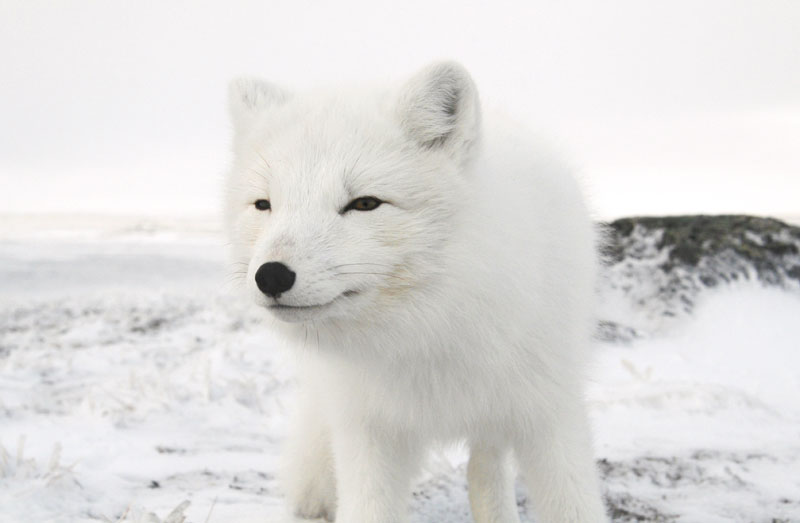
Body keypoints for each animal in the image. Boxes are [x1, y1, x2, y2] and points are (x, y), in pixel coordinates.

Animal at [225, 62, 608, 523]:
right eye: (264, 205)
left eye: (365, 204)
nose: (271, 277)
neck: (429, 328)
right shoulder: (369, 430)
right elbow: (368, 510)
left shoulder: (551, 412)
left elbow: (572, 504)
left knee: (487, 460)